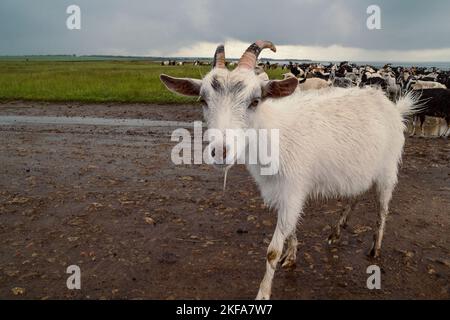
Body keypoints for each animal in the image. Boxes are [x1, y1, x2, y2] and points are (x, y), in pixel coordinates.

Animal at [159, 40, 418, 300]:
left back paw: (375, 248)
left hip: (387, 170)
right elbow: (291, 229)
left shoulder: (293, 191)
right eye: (203, 100)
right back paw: (336, 232)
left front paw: (263, 293)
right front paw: (292, 256)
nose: (220, 152)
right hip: (360, 170)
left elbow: (272, 250)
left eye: (255, 101)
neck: (274, 134)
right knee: (354, 196)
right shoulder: (282, 193)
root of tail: (393, 107)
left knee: (382, 210)